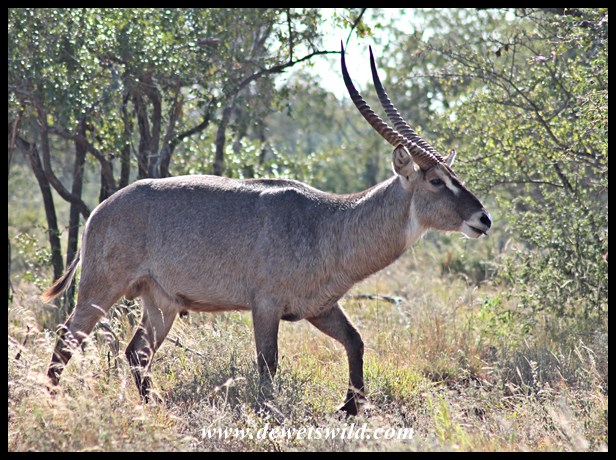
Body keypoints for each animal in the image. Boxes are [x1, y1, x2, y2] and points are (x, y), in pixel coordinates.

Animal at [42, 44, 491, 416]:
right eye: (436, 180)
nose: (483, 219)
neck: (330, 222)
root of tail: (100, 210)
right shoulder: (266, 306)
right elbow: (268, 364)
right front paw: (271, 410)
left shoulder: (319, 307)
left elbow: (356, 341)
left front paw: (350, 407)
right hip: (102, 290)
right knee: (67, 339)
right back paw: (50, 402)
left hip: (161, 303)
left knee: (136, 352)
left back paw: (153, 406)